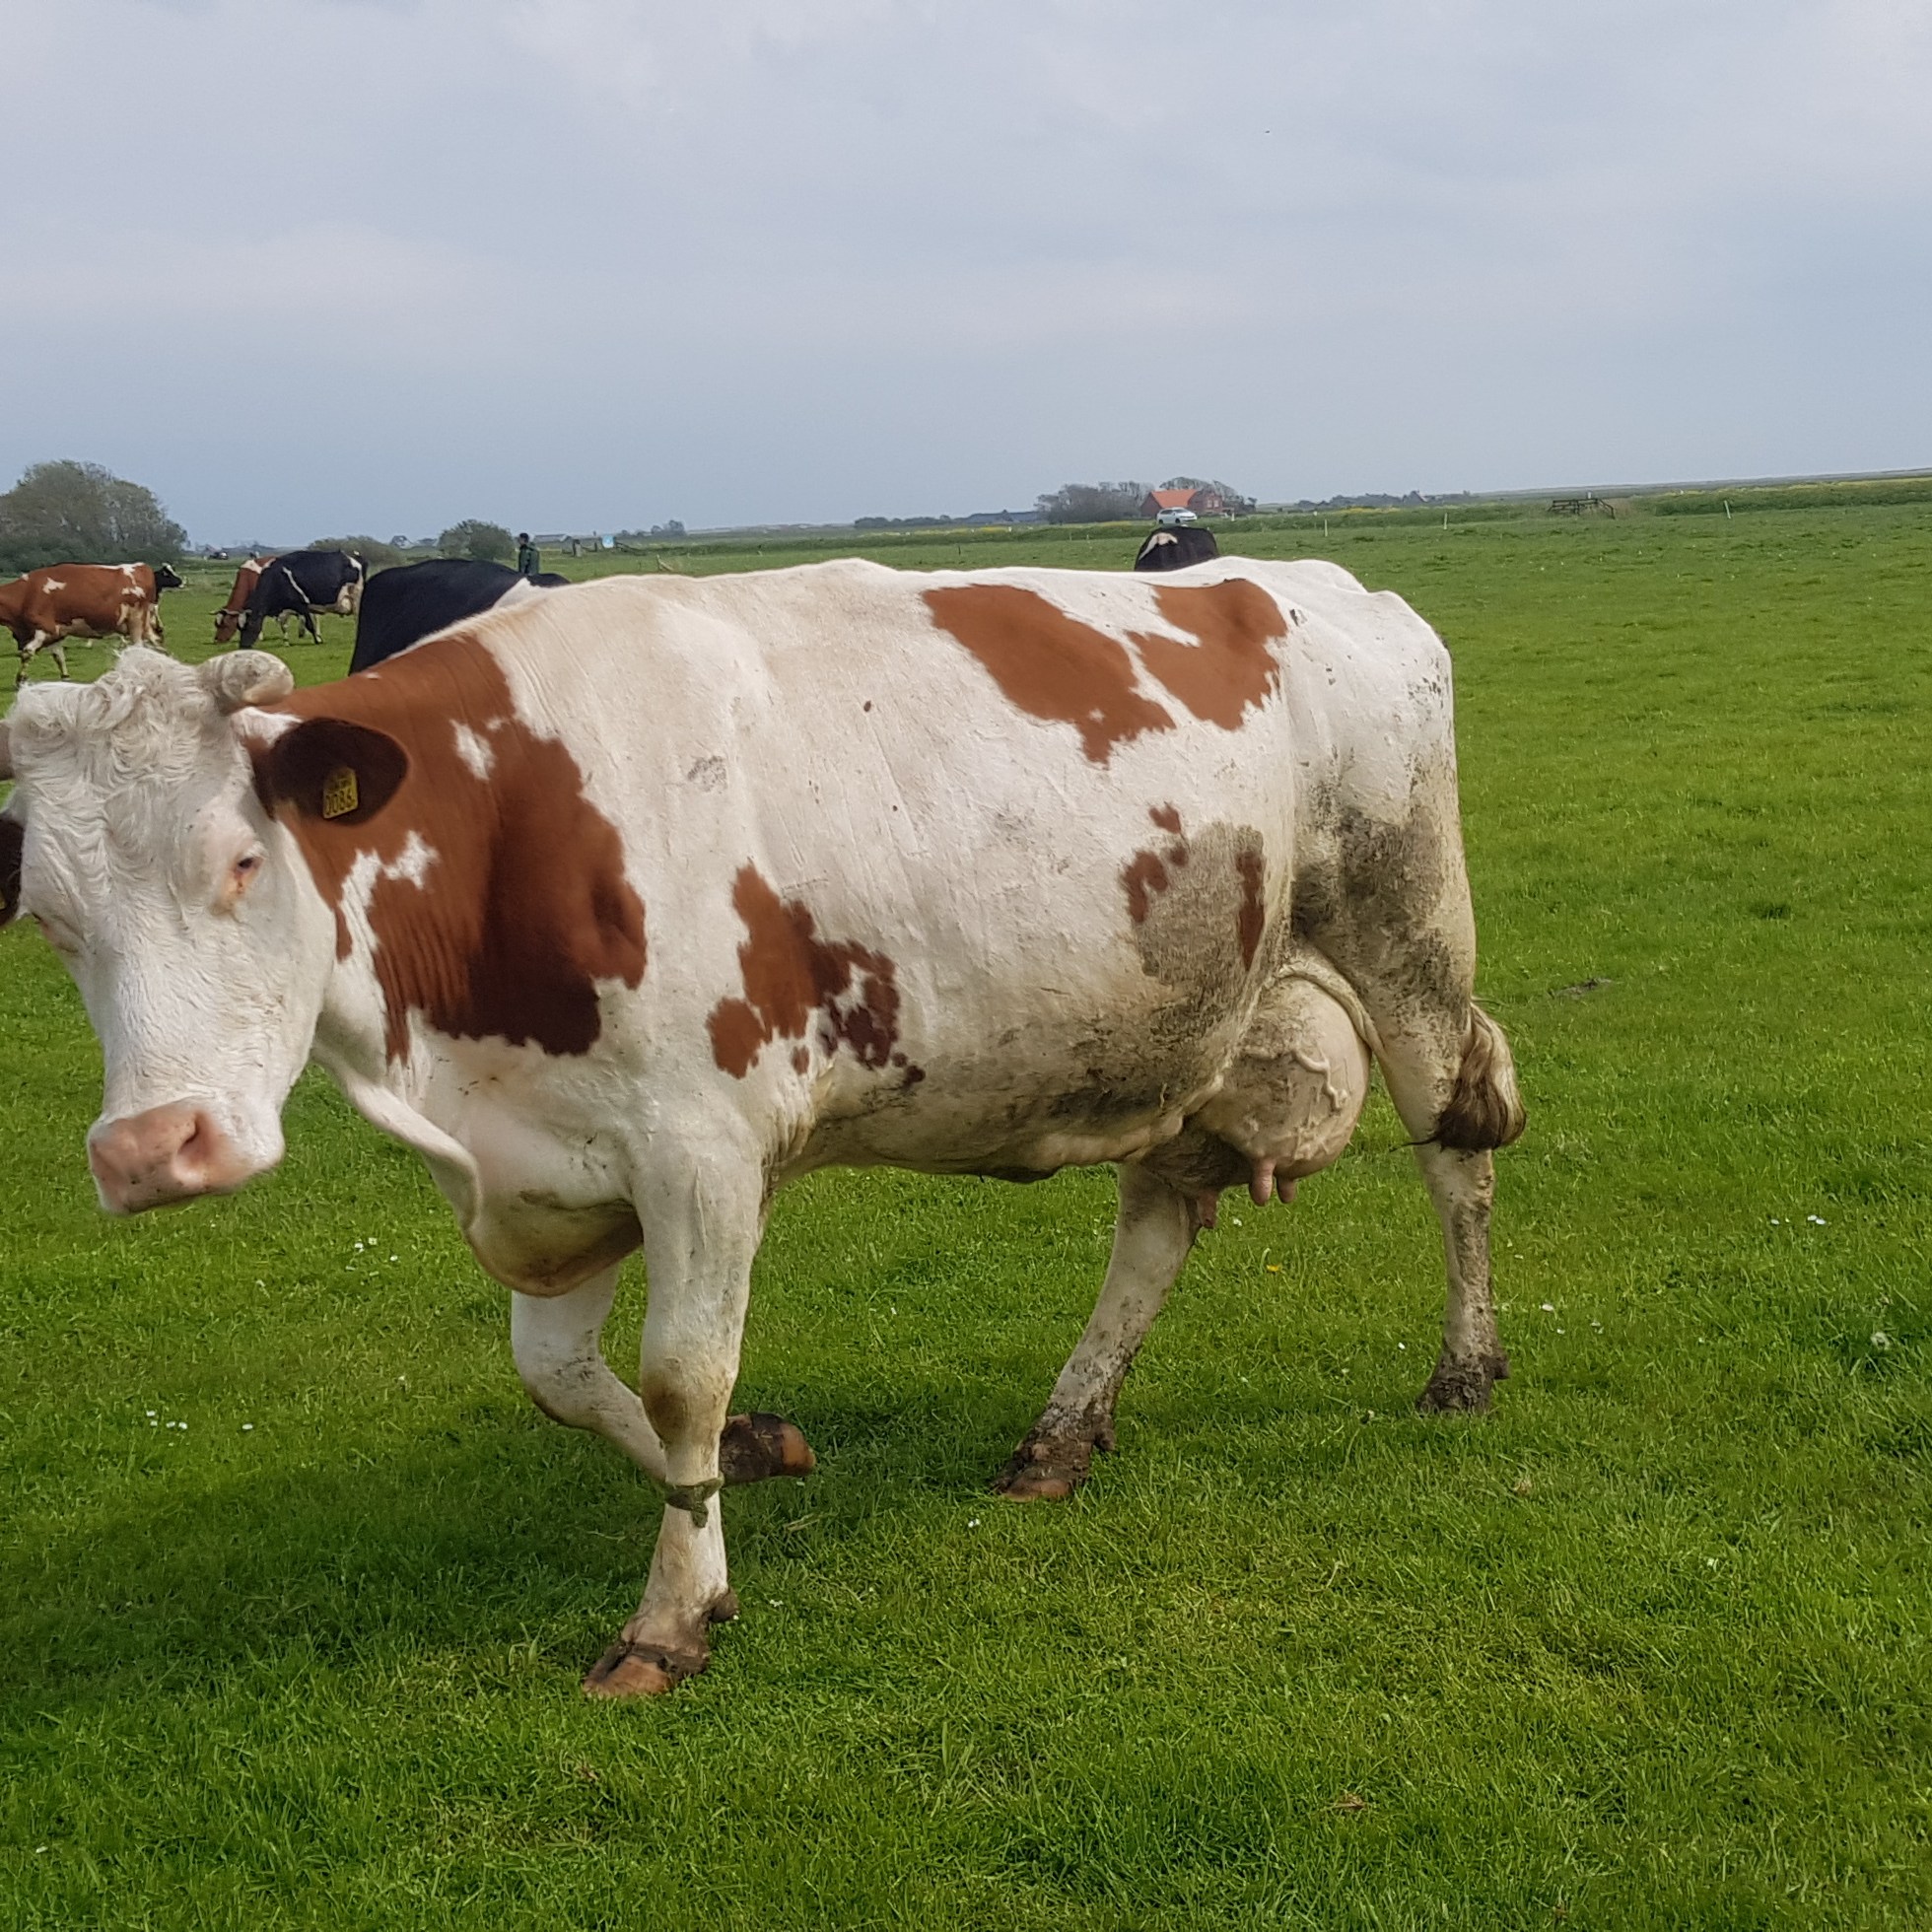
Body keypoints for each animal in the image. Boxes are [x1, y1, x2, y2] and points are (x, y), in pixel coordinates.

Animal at [0, 561, 184, 685]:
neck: (25, 594)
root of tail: (141, 567)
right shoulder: (55, 632)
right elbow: (59, 656)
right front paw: (65, 677)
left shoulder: (42, 627)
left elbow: (27, 653)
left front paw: (20, 679)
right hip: (144, 624)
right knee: (157, 641)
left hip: (136, 622)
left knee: (140, 648)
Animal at [232, 549, 365, 649]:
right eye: (239, 627)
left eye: (248, 625)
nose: (243, 646)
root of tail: (353, 556)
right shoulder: (286, 609)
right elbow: (284, 625)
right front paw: (286, 643)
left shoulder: (301, 604)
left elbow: (309, 625)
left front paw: (318, 640)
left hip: (356, 597)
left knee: (357, 618)